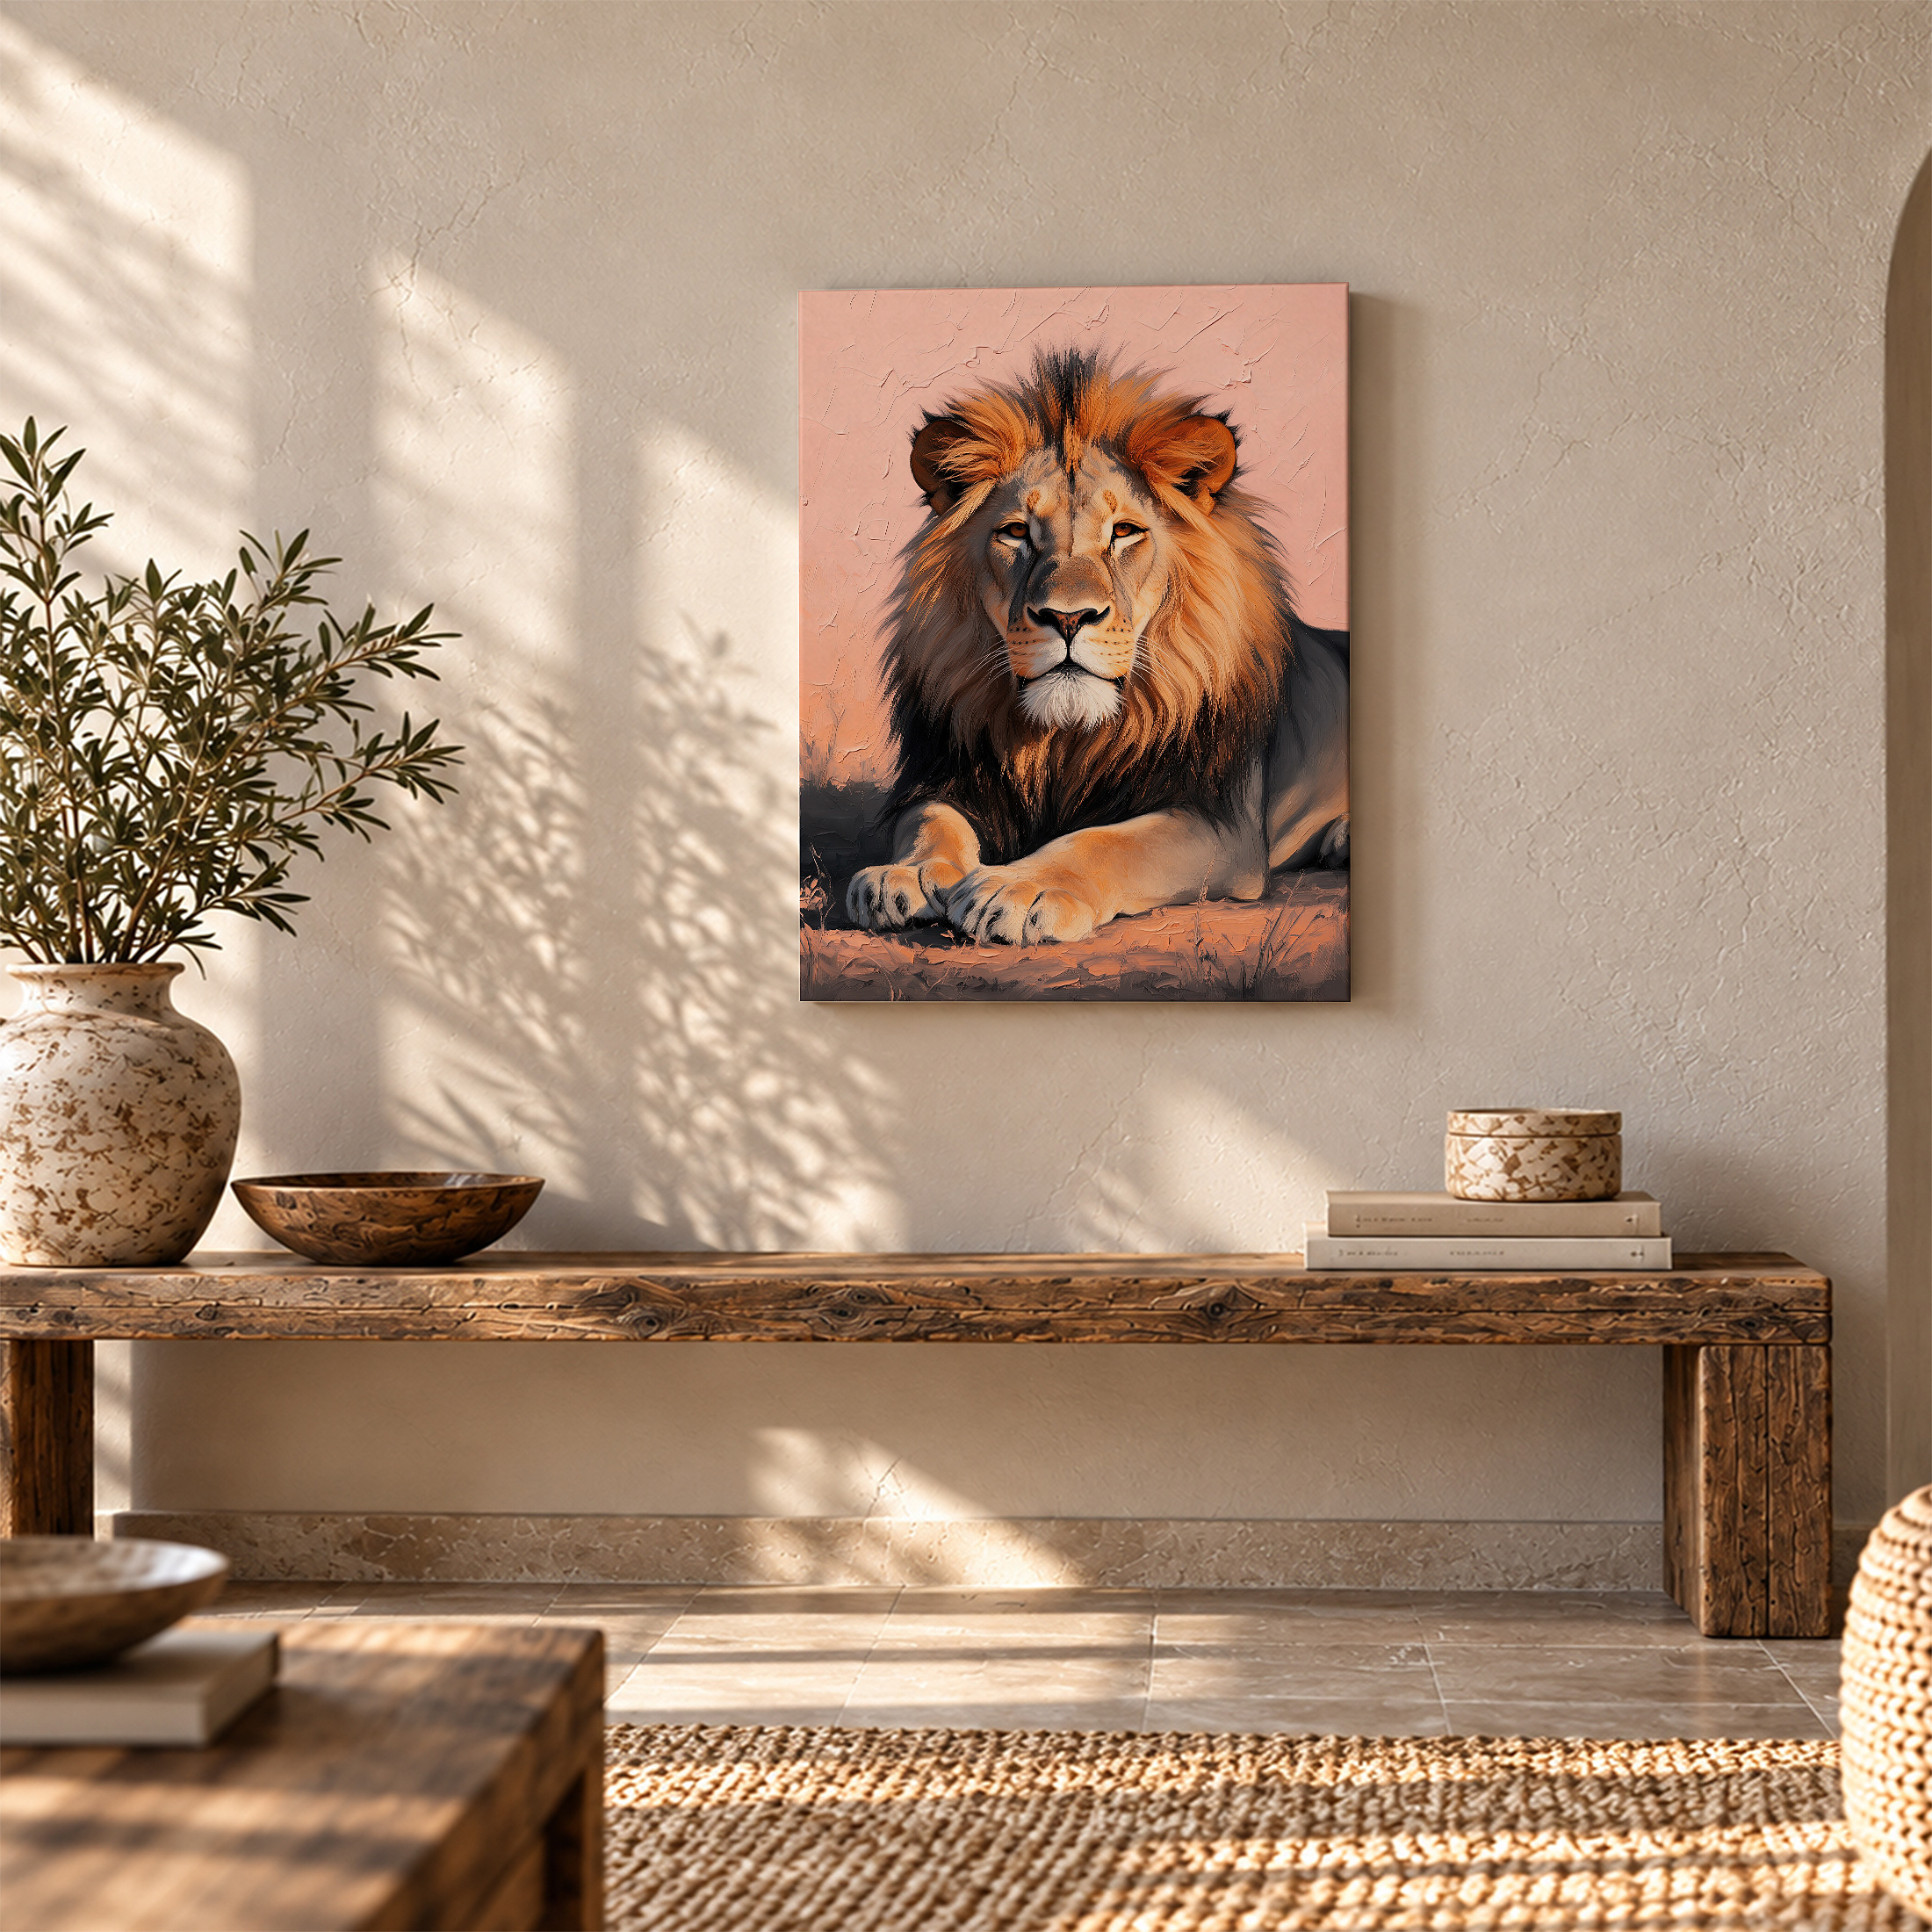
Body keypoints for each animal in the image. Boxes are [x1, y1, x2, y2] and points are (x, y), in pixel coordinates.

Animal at [845, 347, 1348, 947]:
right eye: (1016, 532)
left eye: (1124, 531)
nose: (1067, 617)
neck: (1062, 740)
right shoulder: (945, 776)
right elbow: (930, 822)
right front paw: (906, 876)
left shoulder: (1219, 821)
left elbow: (1107, 842)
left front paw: (1020, 889)